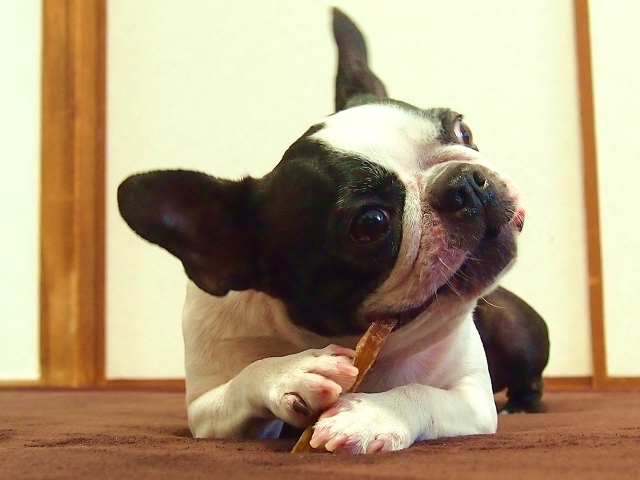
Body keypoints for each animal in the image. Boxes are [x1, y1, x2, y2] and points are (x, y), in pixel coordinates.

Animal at [117, 10, 536, 454]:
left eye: (462, 130)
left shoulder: (472, 398)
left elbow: (422, 393)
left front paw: (372, 415)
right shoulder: (204, 410)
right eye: (370, 225)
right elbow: (242, 381)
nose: (465, 182)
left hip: (515, 329)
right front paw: (290, 374)